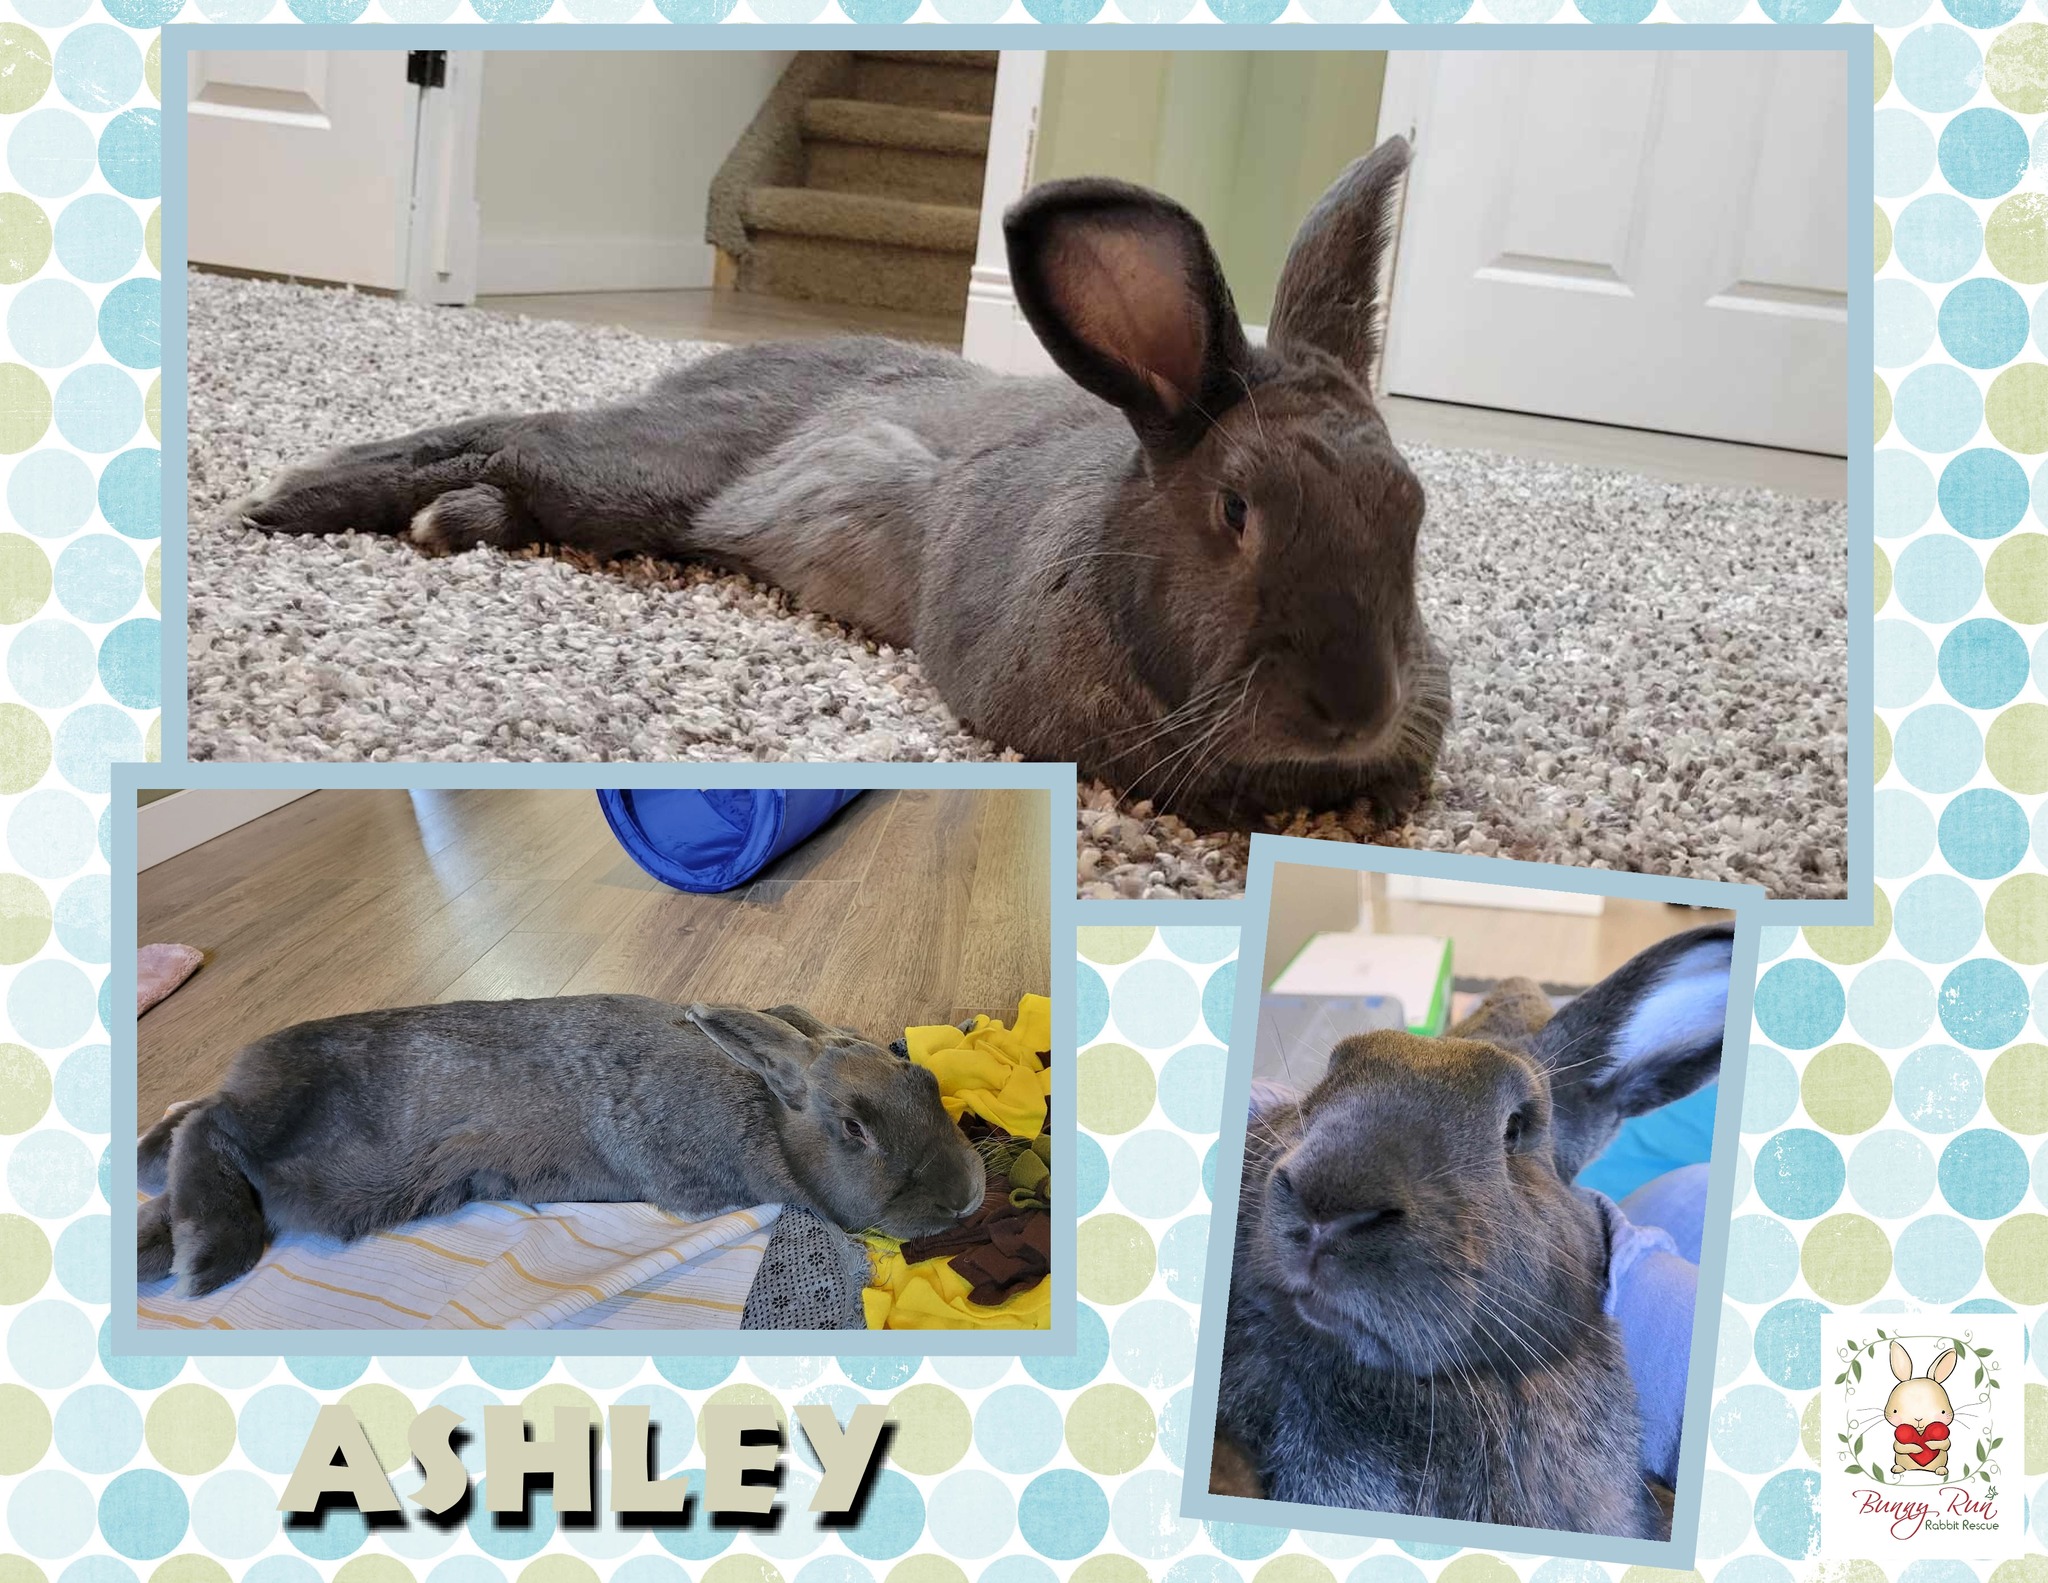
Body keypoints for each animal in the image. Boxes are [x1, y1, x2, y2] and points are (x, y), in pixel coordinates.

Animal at [136, 997, 986, 1299]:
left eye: (920, 1074)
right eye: (854, 1128)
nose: (969, 1195)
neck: (770, 1114)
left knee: (191, 1132)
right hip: (323, 1169)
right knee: (207, 1124)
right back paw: (207, 1256)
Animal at [228, 139, 1450, 827]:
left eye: (1412, 508)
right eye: (1235, 510)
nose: (1355, 710)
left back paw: (442, 520)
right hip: (645, 471)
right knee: (512, 437)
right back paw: (295, 496)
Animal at [1885, 1342, 1956, 1476]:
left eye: (1943, 1412)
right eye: (1895, 1411)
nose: (1918, 1418)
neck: (1920, 1432)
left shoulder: (1945, 1440)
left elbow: (1945, 1444)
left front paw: (1929, 1444)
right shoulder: (1898, 1441)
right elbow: (1899, 1447)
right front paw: (1918, 1448)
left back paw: (1941, 1470)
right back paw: (1897, 1468)